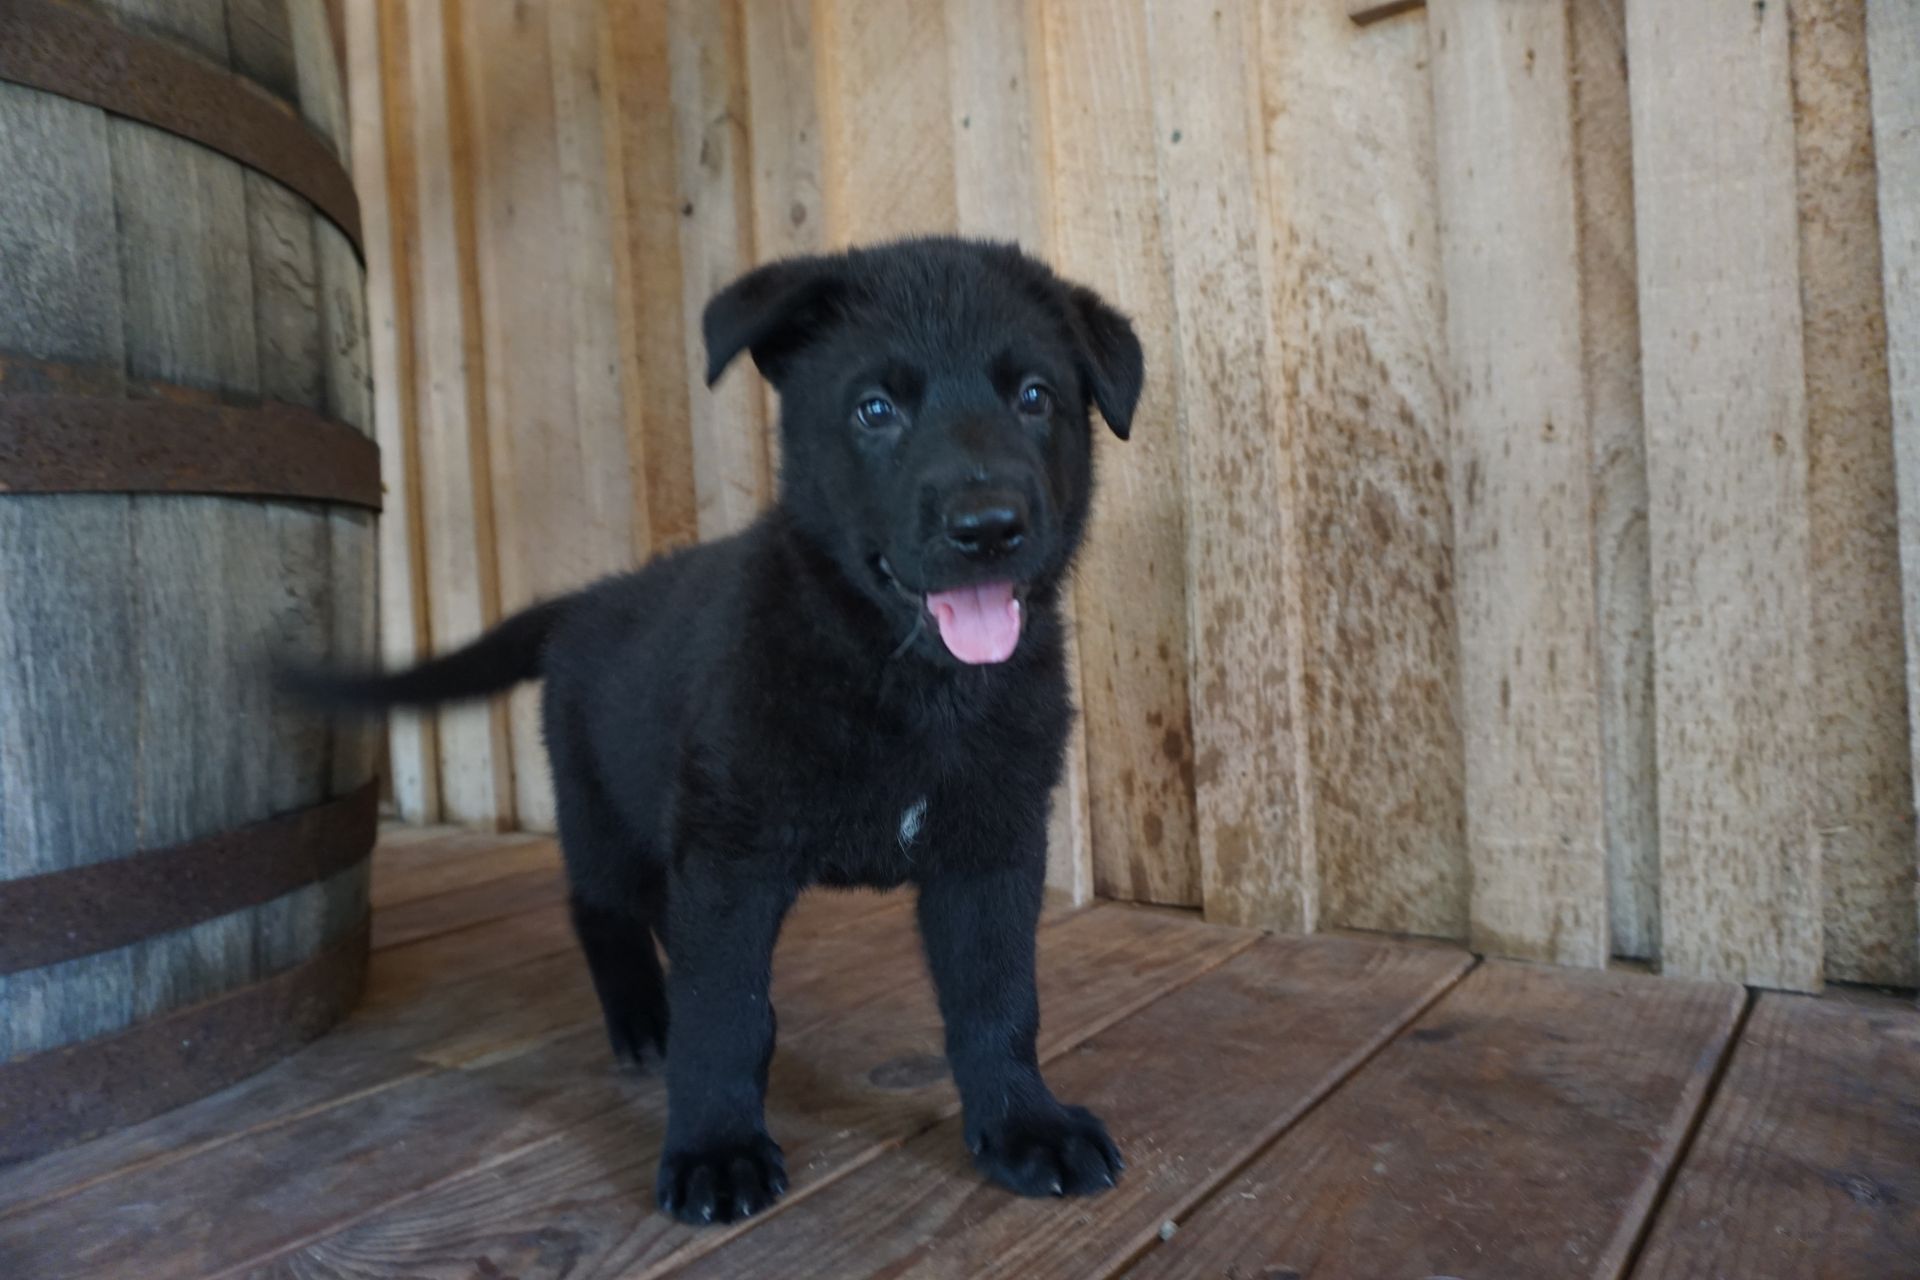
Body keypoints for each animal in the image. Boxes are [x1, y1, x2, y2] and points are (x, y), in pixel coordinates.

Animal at [299, 235, 1136, 1228]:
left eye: (1035, 397)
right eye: (876, 409)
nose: (989, 527)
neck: (906, 685)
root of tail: (585, 601)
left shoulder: (991, 851)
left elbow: (998, 999)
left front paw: (1024, 1126)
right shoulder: (734, 860)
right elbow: (723, 1011)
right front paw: (715, 1149)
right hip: (606, 812)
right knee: (601, 909)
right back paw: (639, 1021)